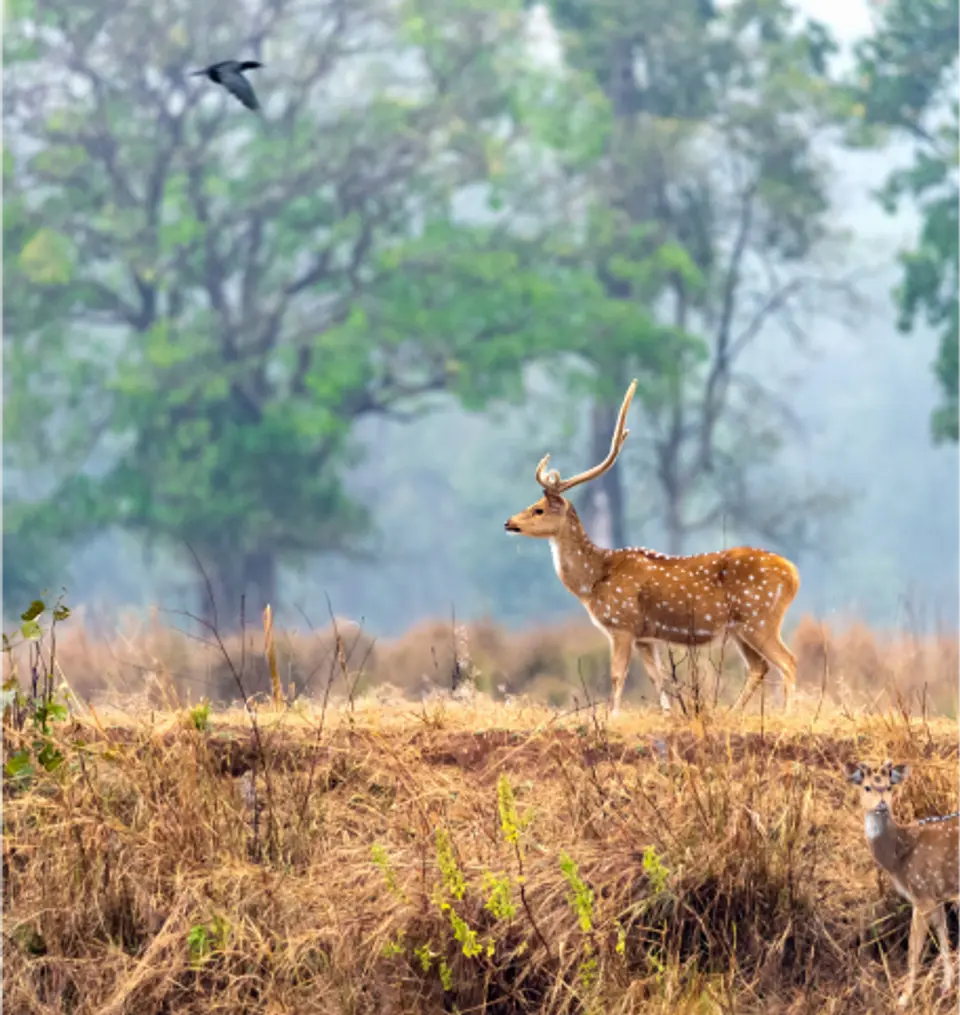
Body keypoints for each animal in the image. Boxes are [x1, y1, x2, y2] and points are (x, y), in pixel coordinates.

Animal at [501, 377, 799, 718]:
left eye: (538, 509)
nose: (508, 522)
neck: (593, 581)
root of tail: (794, 575)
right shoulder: (647, 636)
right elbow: (658, 677)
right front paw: (668, 714)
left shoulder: (622, 624)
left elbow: (618, 675)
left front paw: (612, 717)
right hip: (741, 628)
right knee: (760, 666)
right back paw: (730, 713)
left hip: (760, 618)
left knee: (788, 661)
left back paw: (787, 715)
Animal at [844, 763, 957, 1006]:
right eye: (867, 787)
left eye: (889, 786)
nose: (882, 803)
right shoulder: (935, 894)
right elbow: (943, 935)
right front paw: (946, 986)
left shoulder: (922, 894)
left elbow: (913, 949)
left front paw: (904, 999)